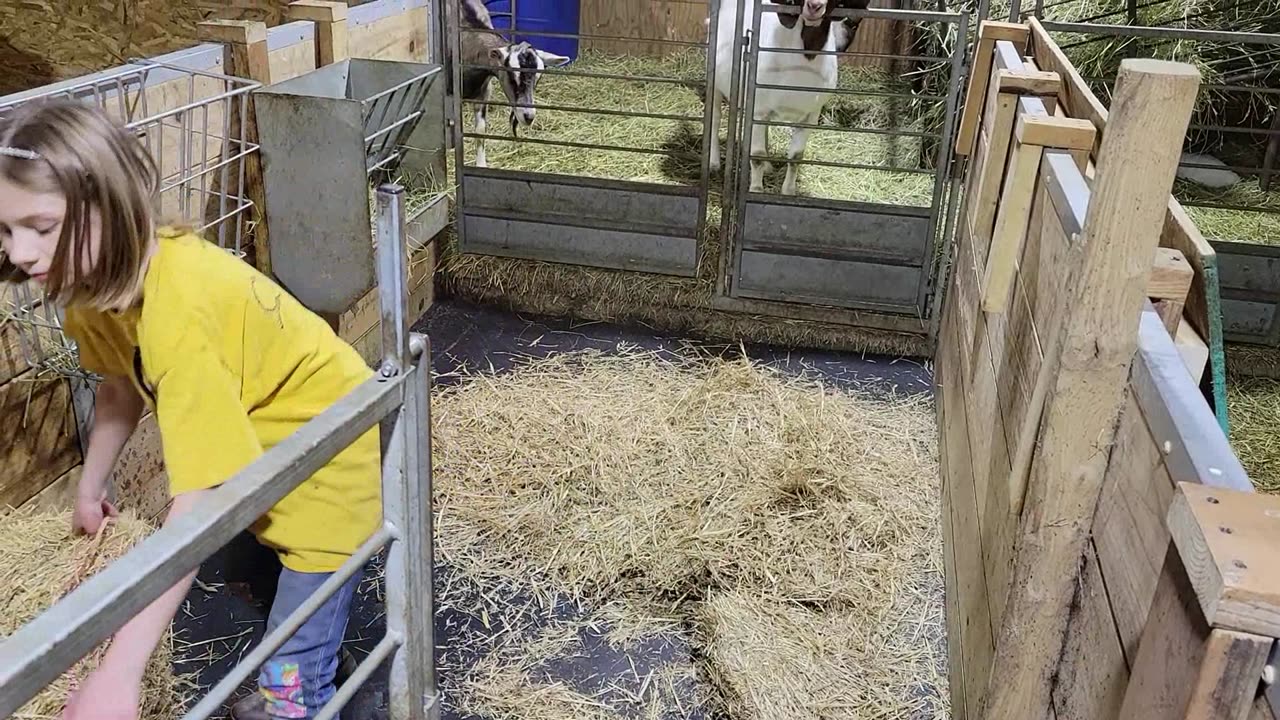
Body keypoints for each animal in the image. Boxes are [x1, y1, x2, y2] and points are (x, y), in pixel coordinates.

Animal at [455, 0, 565, 166]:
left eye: (538, 78)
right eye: (513, 76)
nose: (529, 117)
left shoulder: (484, 93)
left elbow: (480, 132)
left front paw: (481, 165)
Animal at [711, 0, 870, 194]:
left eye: (852, 25)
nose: (814, 5)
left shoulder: (810, 115)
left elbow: (796, 157)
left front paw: (788, 192)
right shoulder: (758, 108)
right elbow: (756, 156)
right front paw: (756, 190)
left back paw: (767, 167)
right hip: (716, 81)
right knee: (715, 118)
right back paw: (713, 163)